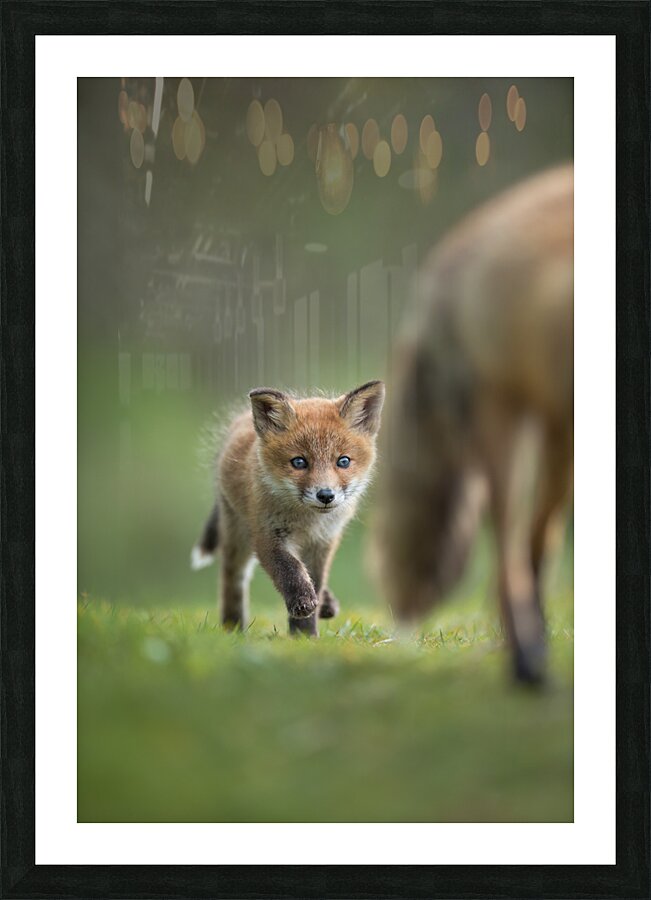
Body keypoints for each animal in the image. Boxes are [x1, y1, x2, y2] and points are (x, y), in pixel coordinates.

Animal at [192, 381, 385, 635]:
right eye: (299, 462)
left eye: (343, 461)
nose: (326, 495)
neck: (307, 521)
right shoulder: (266, 534)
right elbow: (290, 569)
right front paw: (302, 609)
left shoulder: (324, 542)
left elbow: (316, 579)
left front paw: (305, 633)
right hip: (237, 533)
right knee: (233, 576)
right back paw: (233, 628)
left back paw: (327, 603)